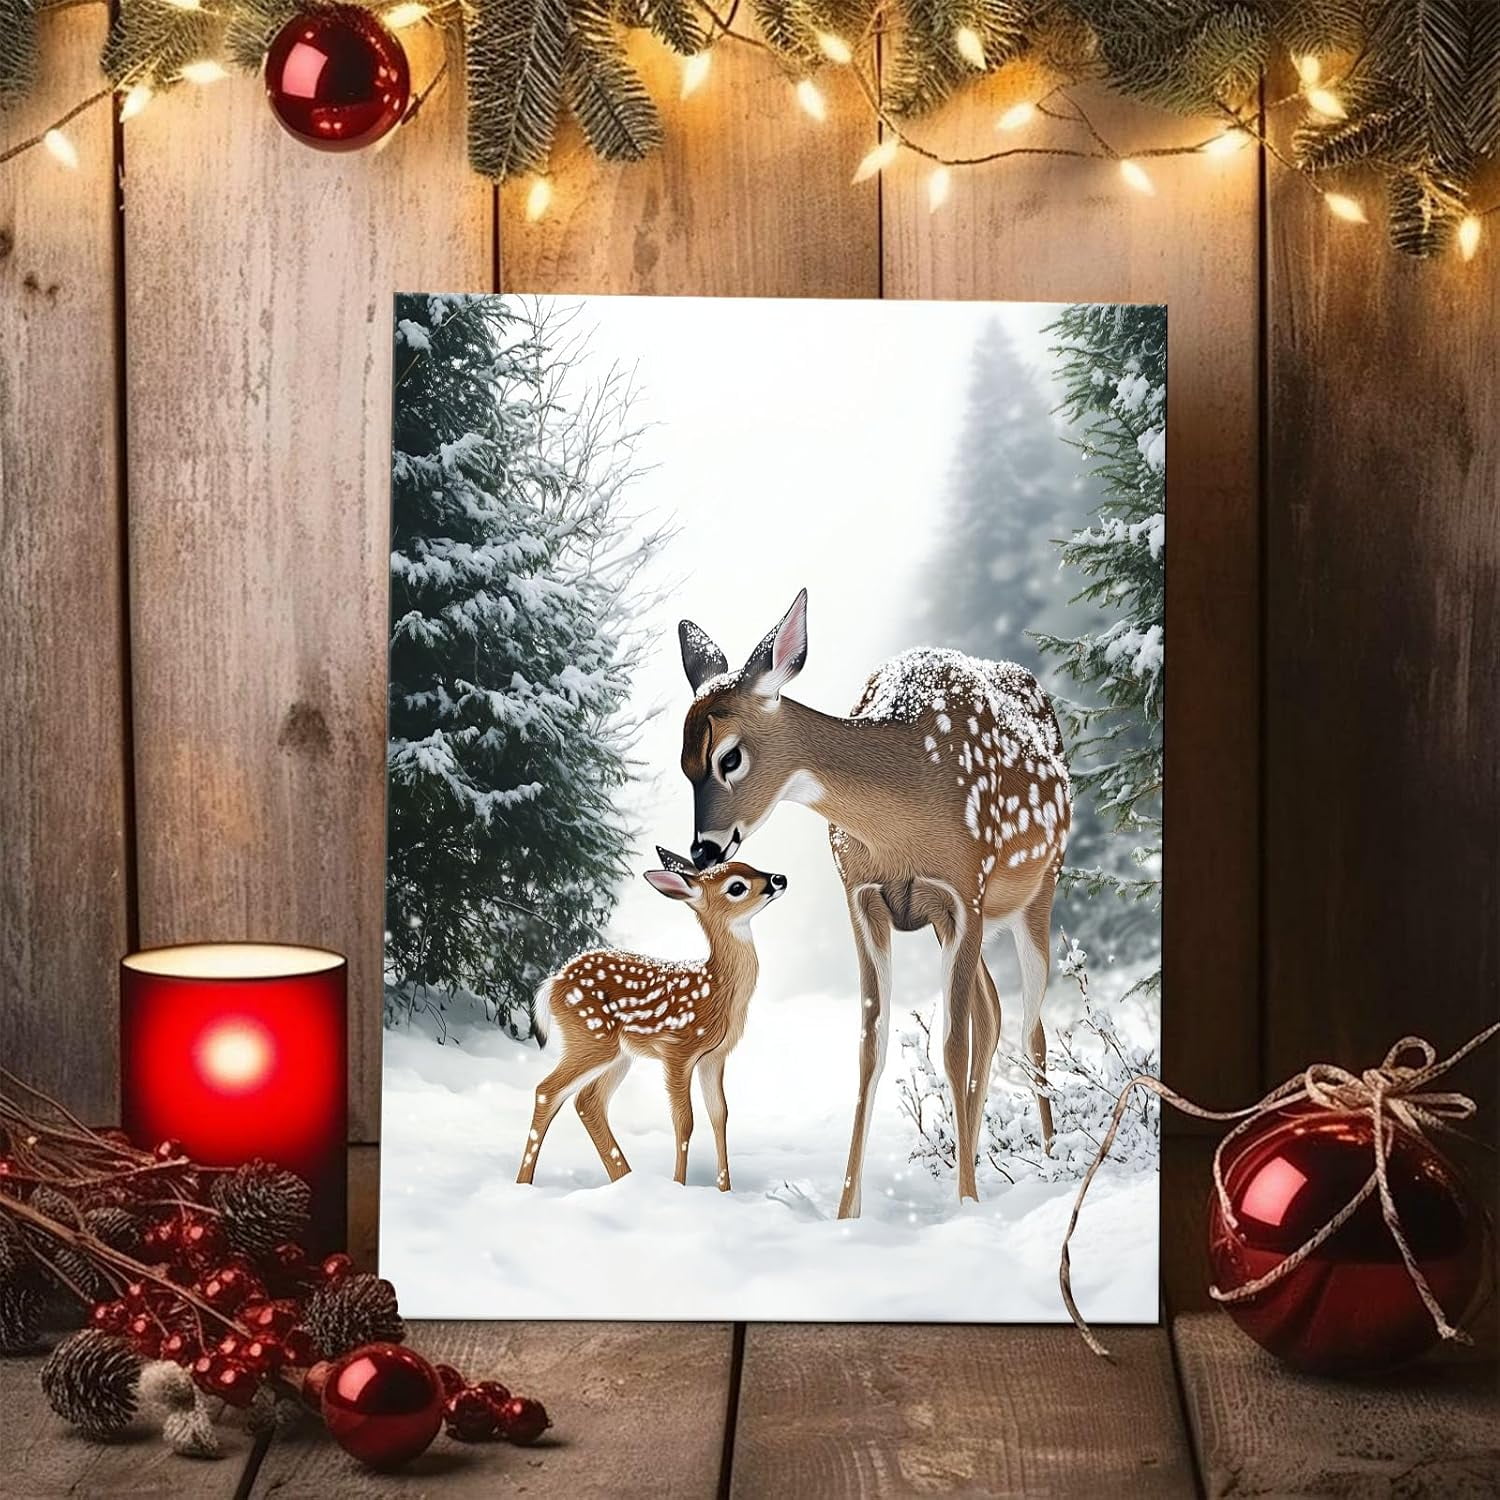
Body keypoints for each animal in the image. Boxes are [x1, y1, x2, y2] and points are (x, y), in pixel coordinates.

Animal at [516, 849, 787, 1191]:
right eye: (737, 887)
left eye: (751, 866)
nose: (780, 878)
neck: (718, 990)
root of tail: (554, 981)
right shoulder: (677, 1049)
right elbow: (684, 1121)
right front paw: (679, 1186)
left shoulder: (715, 1057)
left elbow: (719, 1115)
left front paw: (725, 1190)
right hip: (591, 1036)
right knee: (547, 1091)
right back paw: (524, 1184)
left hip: (619, 1054)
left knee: (587, 1101)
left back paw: (625, 1179)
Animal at [675, 588, 1071, 1219]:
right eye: (684, 762)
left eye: (729, 758)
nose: (703, 849)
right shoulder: (862, 895)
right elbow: (871, 1046)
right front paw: (846, 1213)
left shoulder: (964, 886)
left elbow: (951, 1047)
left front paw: (965, 1203)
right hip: (961, 923)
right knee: (993, 1012)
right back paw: (979, 1159)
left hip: (1036, 890)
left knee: (1031, 1024)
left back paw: (1048, 1164)